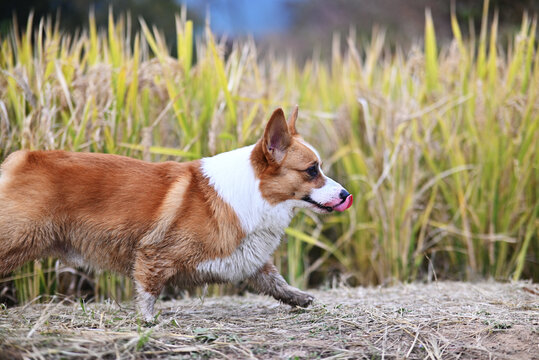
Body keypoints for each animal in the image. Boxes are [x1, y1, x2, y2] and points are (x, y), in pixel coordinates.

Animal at [0, 107, 354, 320]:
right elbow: (148, 290)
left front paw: (300, 298)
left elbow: (276, 283)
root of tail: (22, 157)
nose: (346, 195)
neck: (254, 193)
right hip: (18, 239)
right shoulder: (154, 254)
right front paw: (147, 322)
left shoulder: (249, 260)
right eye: (312, 170)